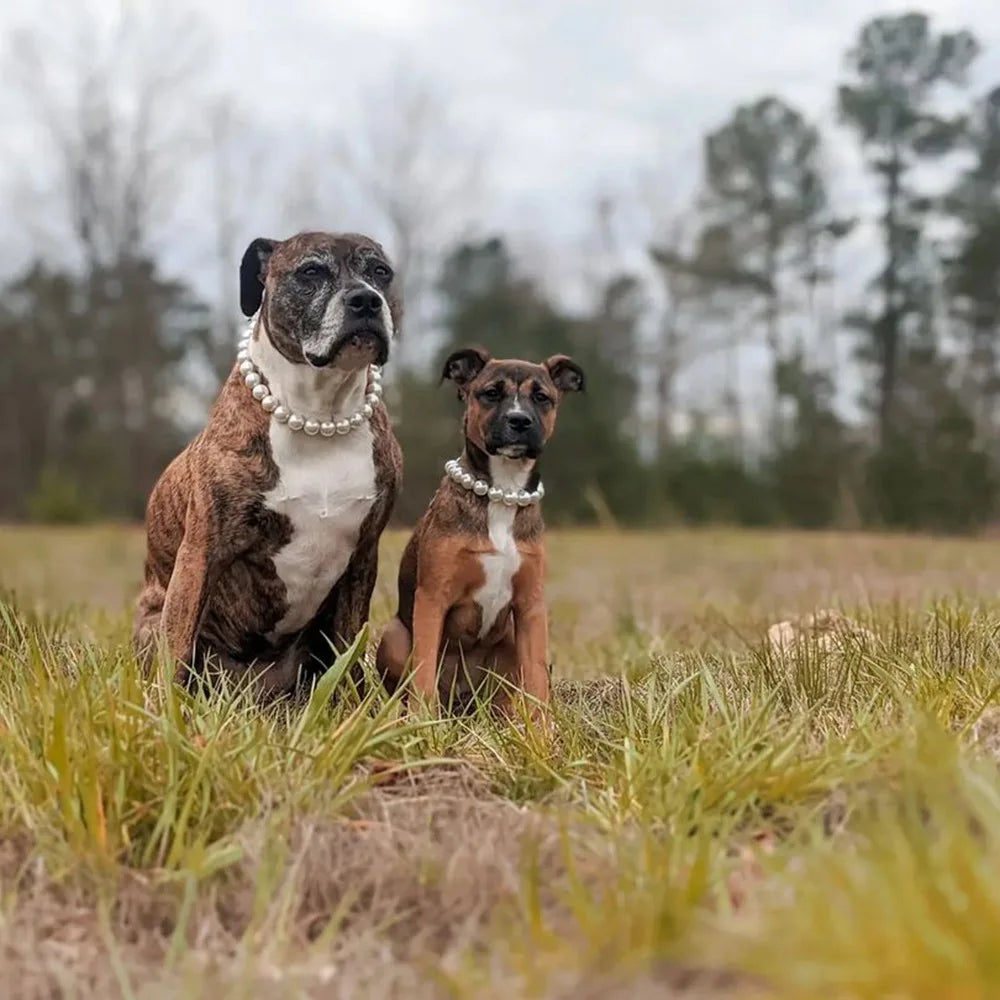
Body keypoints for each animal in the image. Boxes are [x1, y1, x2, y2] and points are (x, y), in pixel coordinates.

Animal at [136, 230, 402, 692]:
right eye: (310, 272)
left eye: (380, 272)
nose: (365, 300)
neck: (320, 413)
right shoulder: (203, 550)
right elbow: (178, 642)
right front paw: (165, 705)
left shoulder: (363, 556)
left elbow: (348, 650)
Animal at [376, 348, 584, 716]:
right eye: (491, 393)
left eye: (542, 397)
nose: (519, 420)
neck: (502, 493)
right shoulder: (432, 598)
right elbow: (424, 672)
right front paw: (422, 723)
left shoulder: (530, 607)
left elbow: (537, 681)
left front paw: (542, 729)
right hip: (394, 634)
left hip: (509, 644)